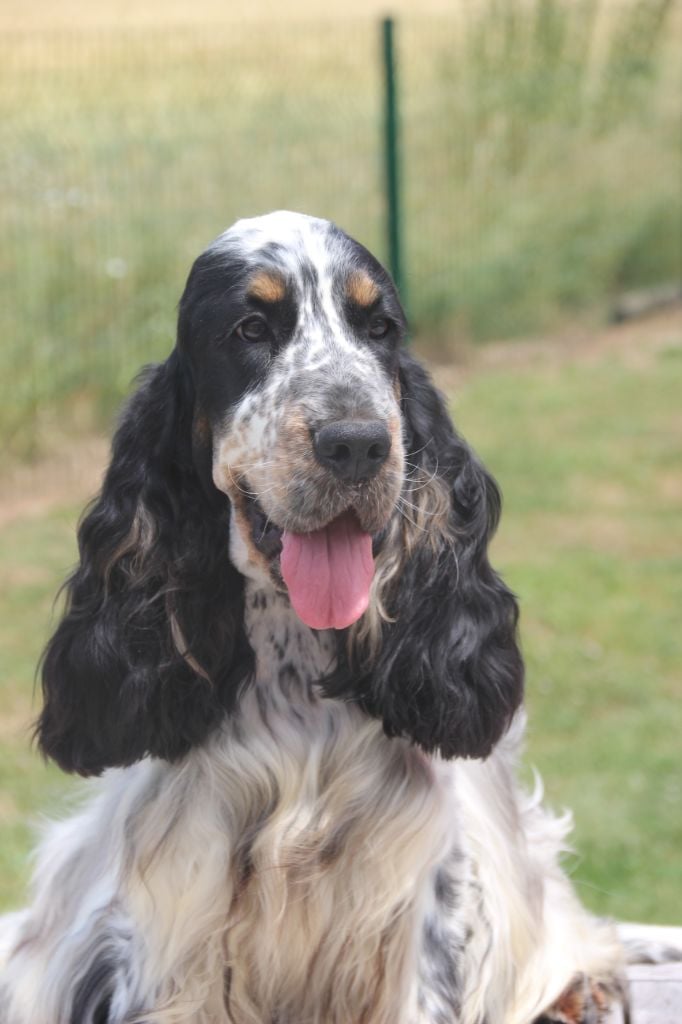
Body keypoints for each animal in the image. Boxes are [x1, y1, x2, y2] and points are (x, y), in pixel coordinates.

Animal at [0, 211, 631, 1023]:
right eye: (251, 328)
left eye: (380, 328)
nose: (358, 443)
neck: (296, 664)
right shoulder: (174, 907)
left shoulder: (424, 889)